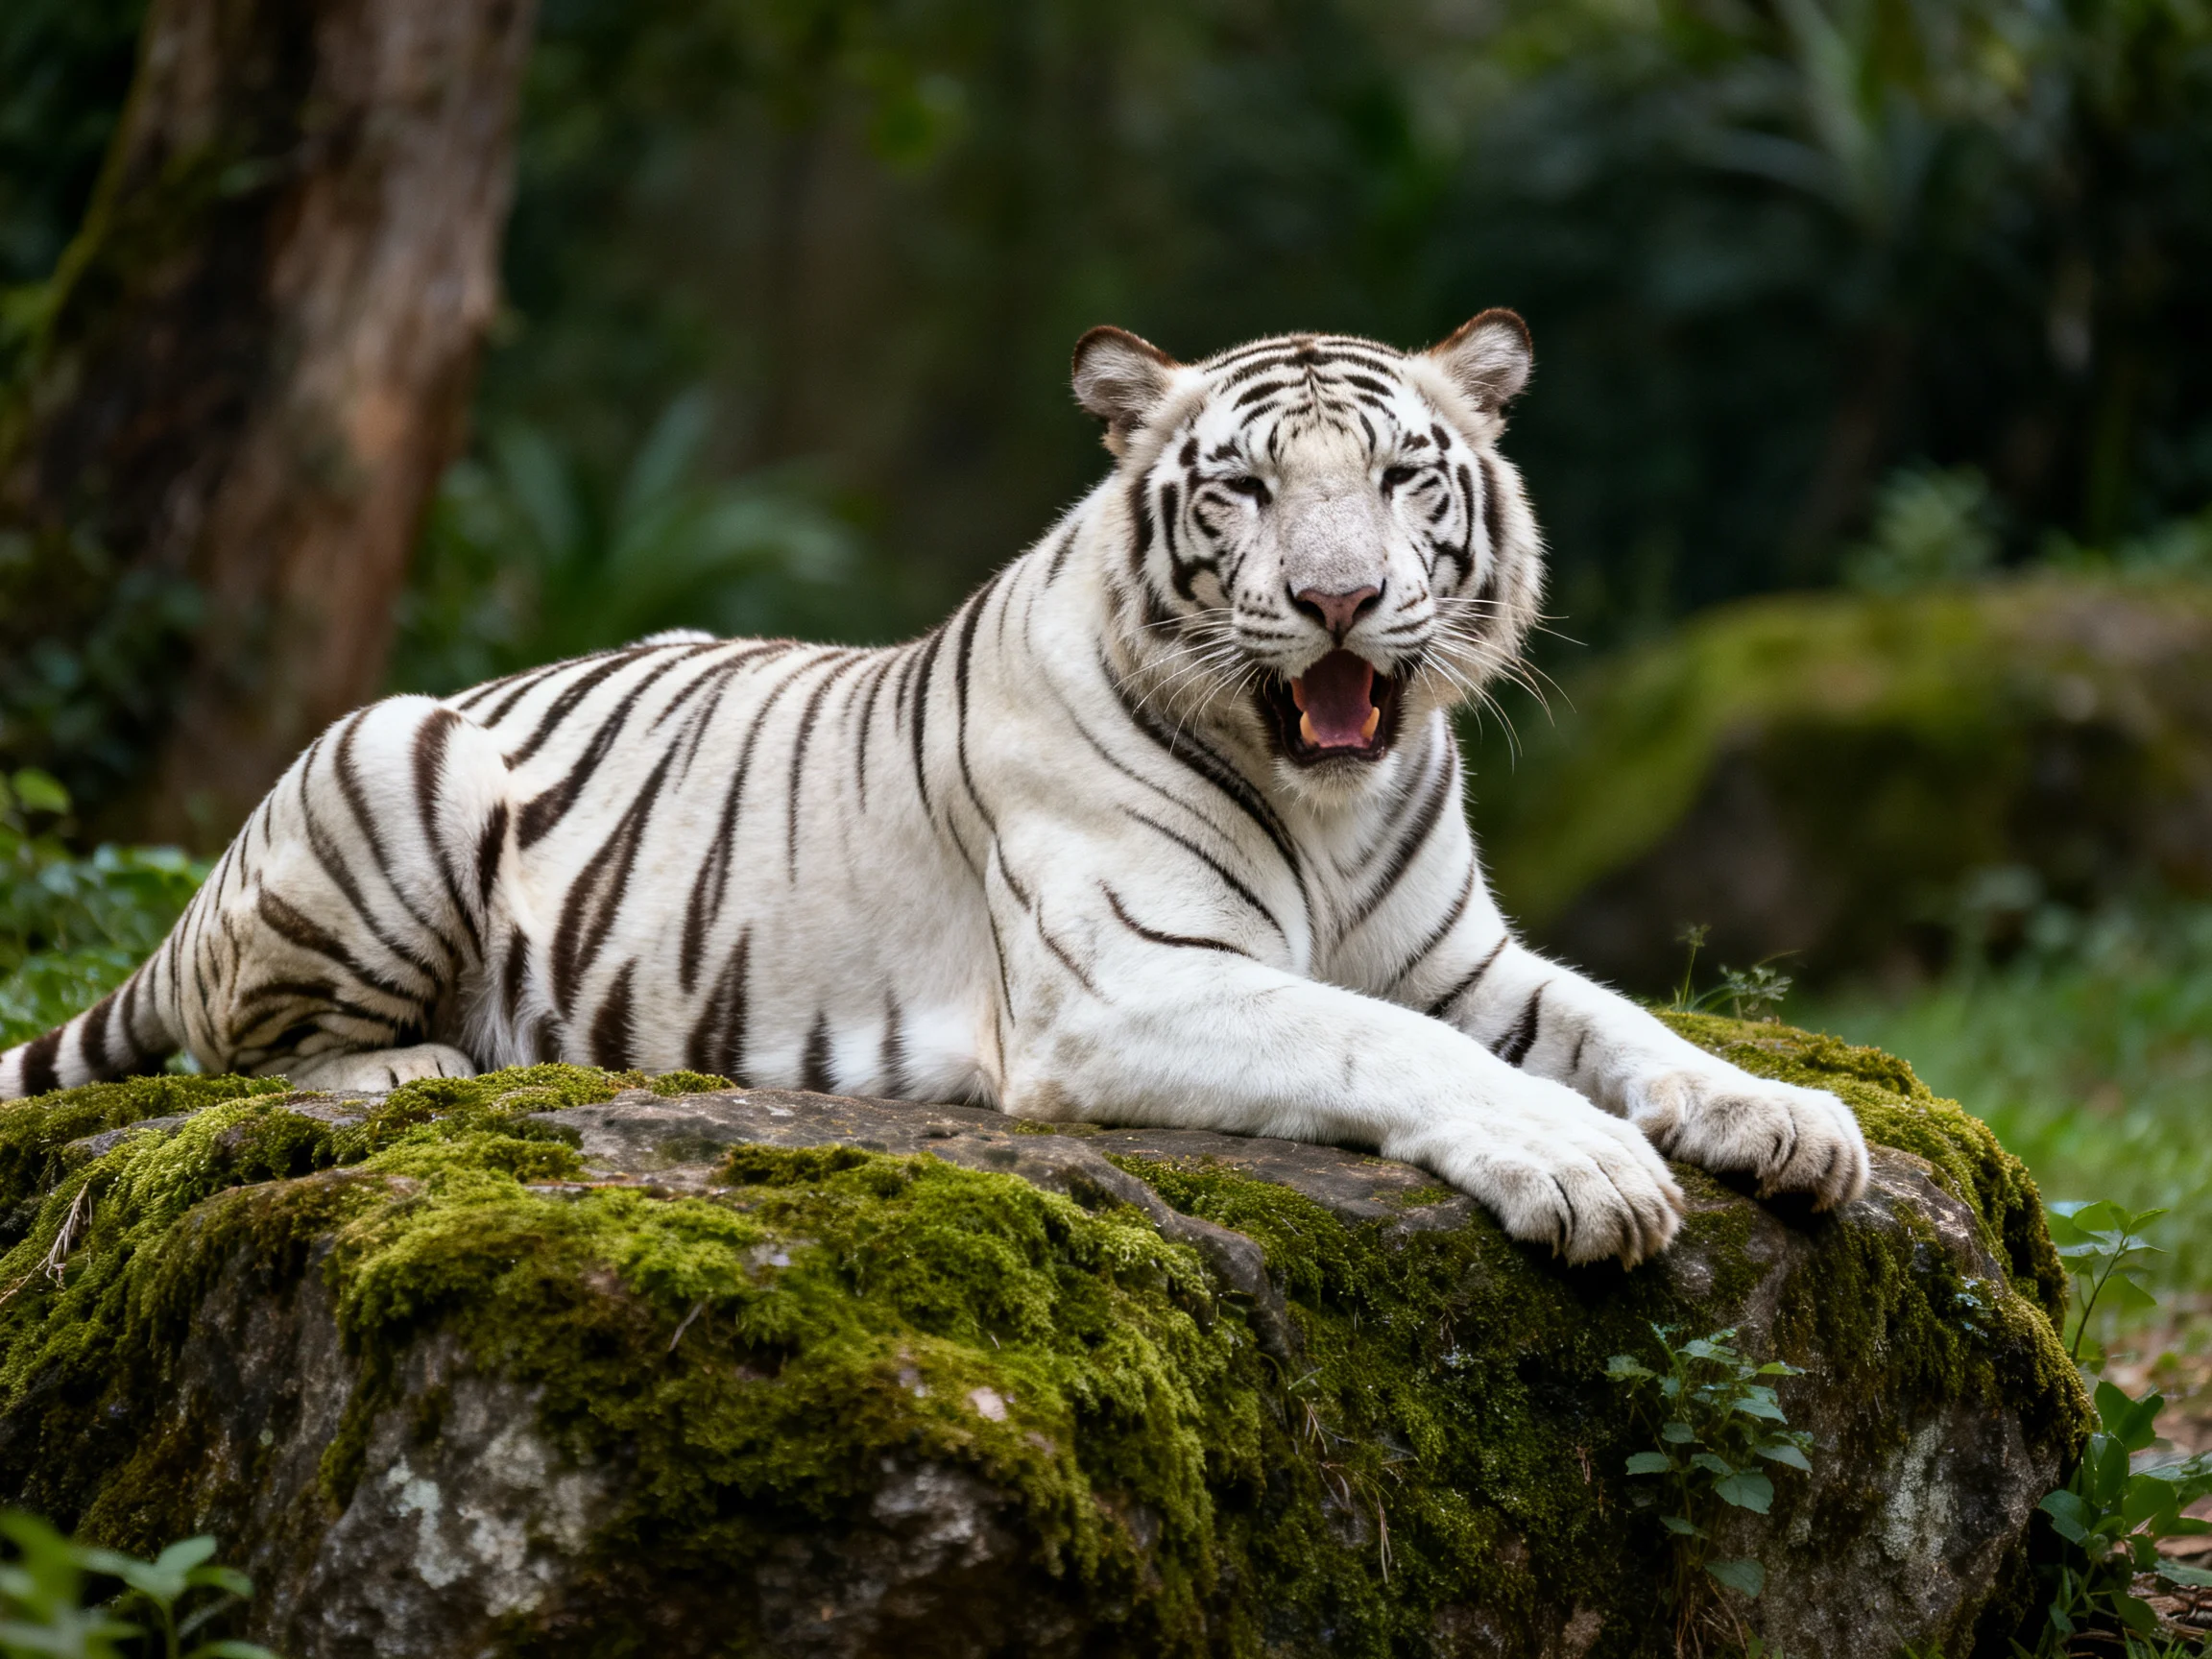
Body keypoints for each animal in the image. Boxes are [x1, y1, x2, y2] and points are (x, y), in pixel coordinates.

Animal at [0, 312, 1868, 1265]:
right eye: (1246, 492)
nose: (1340, 599)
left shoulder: (1465, 961)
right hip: (396, 745)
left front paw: (1786, 1120)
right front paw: (1585, 1171)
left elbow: (1624, 1021)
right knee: (249, 1050)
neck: (1327, 800)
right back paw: (418, 1065)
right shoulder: (1129, 985)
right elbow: (1381, 1047)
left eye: (1407, 478)